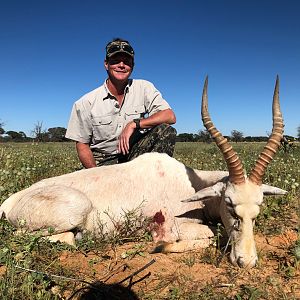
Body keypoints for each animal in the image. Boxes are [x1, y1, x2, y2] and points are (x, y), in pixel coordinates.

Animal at [0, 77, 286, 268]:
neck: (192, 183)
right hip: (75, 208)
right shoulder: (177, 226)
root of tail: (9, 203)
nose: (246, 261)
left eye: (258, 207)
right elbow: (208, 234)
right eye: (229, 203)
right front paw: (160, 245)